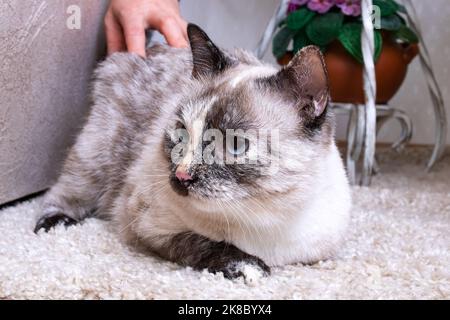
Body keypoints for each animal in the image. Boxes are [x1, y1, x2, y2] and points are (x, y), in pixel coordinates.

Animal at [35, 23, 352, 282]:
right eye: (182, 134)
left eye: (236, 145)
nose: (181, 176)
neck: (264, 218)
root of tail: (153, 48)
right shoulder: (148, 227)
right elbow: (203, 244)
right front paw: (249, 268)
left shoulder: (319, 253)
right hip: (97, 156)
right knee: (66, 192)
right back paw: (53, 225)